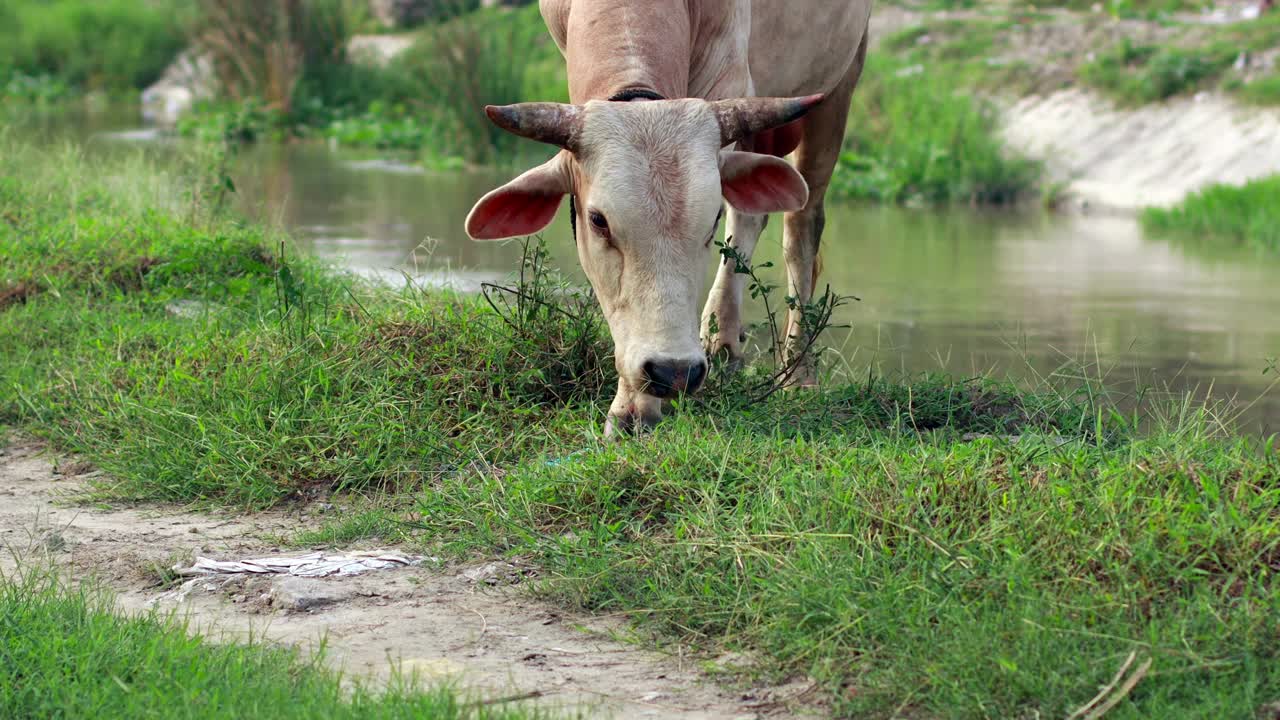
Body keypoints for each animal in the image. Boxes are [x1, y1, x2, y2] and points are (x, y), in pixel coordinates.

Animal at [465, 0, 875, 430]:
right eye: (598, 221)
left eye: (710, 220)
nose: (674, 371)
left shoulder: (727, 77)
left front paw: (634, 409)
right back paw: (722, 342)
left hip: (841, 79)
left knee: (801, 225)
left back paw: (798, 371)